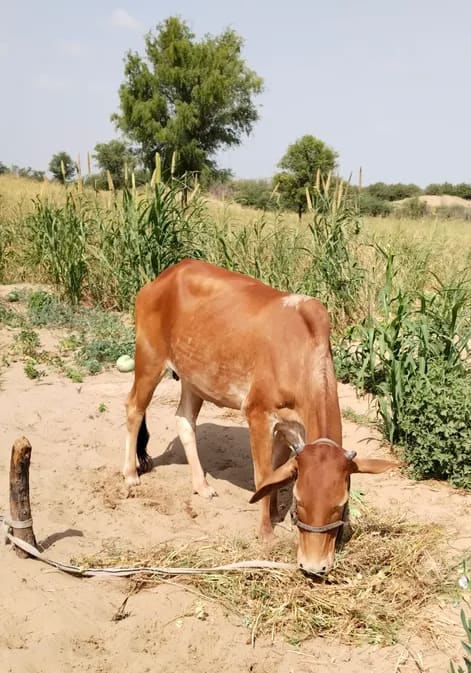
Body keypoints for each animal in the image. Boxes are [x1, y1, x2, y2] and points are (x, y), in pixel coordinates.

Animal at [123, 259, 400, 575]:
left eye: (340, 505)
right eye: (299, 503)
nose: (314, 566)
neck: (299, 354)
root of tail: (164, 277)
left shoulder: (287, 428)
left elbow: (277, 472)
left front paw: (275, 515)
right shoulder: (258, 415)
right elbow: (264, 476)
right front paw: (266, 532)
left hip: (195, 378)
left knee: (184, 420)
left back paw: (202, 486)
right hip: (149, 358)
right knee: (134, 408)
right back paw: (130, 475)